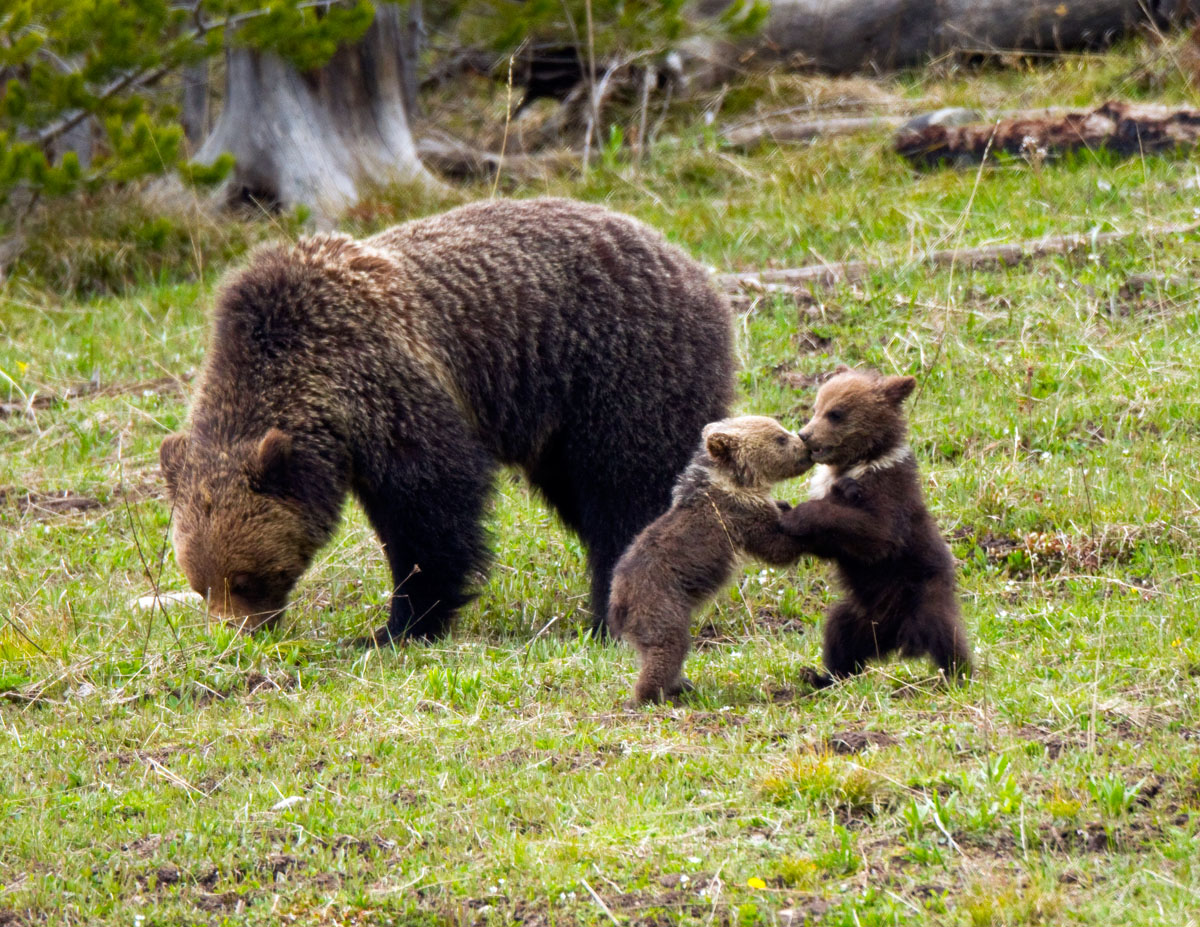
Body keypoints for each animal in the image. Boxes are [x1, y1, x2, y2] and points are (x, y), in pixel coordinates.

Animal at [158, 196, 729, 638]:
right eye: (200, 585)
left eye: (247, 578)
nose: (238, 635)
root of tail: (692, 267)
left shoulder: (389, 389)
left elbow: (432, 511)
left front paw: (399, 626)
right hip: (560, 428)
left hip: (624, 372)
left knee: (626, 492)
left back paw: (612, 613)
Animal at [609, 417, 816, 701]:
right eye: (780, 438)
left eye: (782, 430)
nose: (807, 447)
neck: (738, 481)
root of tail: (619, 599)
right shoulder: (739, 515)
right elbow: (776, 548)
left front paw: (786, 505)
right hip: (661, 602)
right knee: (667, 647)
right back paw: (655, 694)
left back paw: (680, 685)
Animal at [782, 367, 969, 682]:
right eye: (816, 407)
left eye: (836, 413)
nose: (804, 435)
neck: (862, 460)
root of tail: (896, 639)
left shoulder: (888, 493)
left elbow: (876, 533)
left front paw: (798, 514)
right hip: (858, 615)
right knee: (839, 636)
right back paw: (819, 676)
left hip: (923, 596)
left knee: (946, 635)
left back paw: (957, 675)